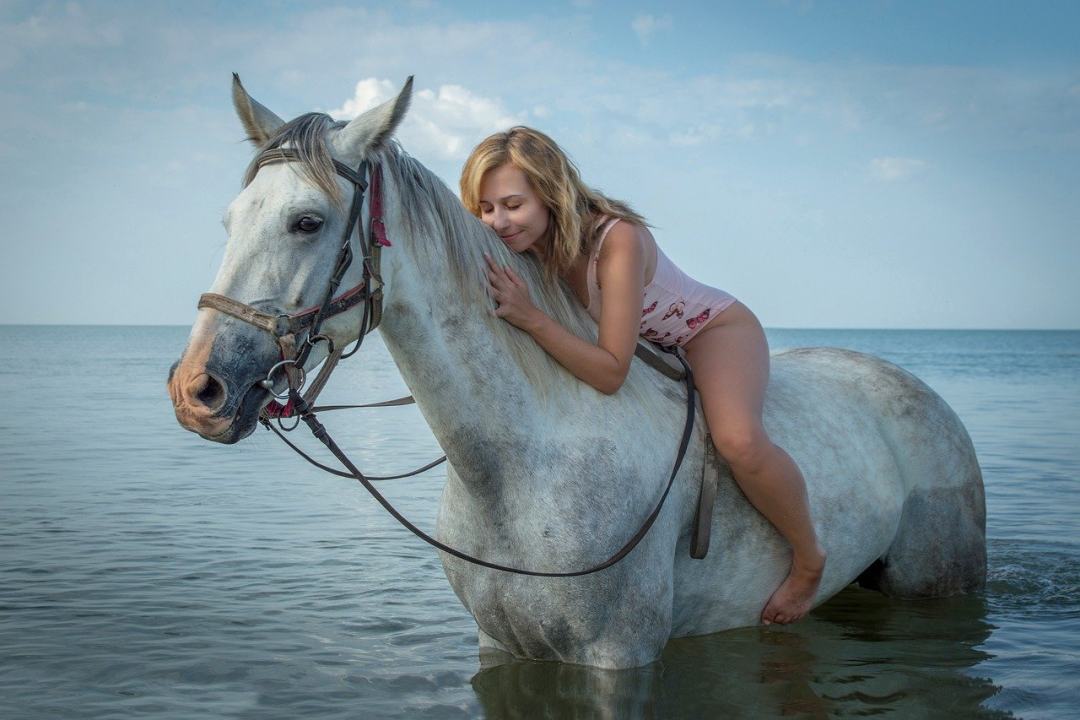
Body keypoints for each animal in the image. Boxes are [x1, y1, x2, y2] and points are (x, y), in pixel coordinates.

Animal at [166, 77, 989, 669]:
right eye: (230, 220)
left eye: (306, 221)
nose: (197, 391)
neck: (520, 466)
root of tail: (916, 388)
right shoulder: (502, 647)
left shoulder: (618, 659)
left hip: (936, 585)